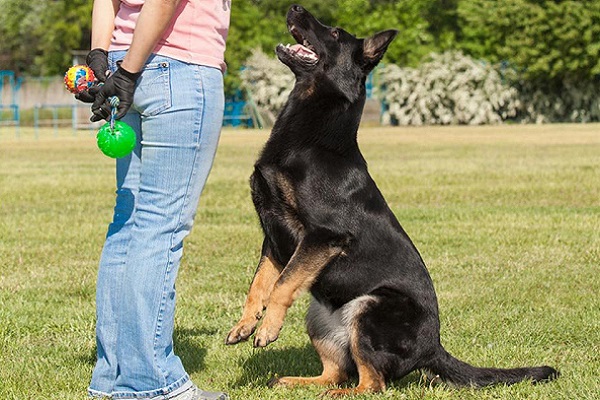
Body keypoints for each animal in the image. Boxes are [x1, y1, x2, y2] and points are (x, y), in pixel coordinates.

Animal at [225, 5, 556, 396]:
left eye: (334, 32)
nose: (294, 7)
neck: (312, 138)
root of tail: (433, 347)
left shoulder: (322, 236)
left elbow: (282, 284)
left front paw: (267, 328)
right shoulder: (275, 239)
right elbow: (259, 284)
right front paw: (246, 323)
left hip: (369, 309)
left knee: (372, 383)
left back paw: (337, 394)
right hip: (321, 314)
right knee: (338, 370)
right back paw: (297, 382)